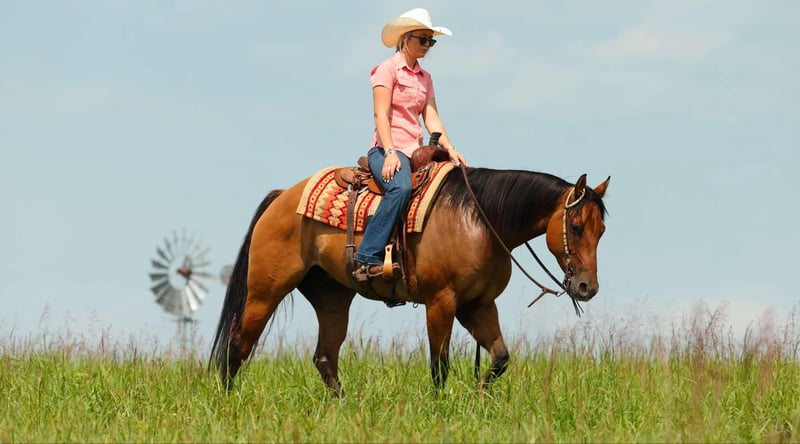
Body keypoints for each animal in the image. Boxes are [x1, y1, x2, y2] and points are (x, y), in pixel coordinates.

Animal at [210, 164, 610, 396]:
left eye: (601, 231)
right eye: (576, 226)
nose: (587, 288)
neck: (479, 219)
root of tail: (281, 198)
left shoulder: (477, 305)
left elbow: (499, 358)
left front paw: (479, 398)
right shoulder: (441, 302)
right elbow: (439, 365)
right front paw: (441, 409)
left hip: (332, 297)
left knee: (325, 356)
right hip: (265, 291)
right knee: (237, 346)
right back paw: (229, 403)